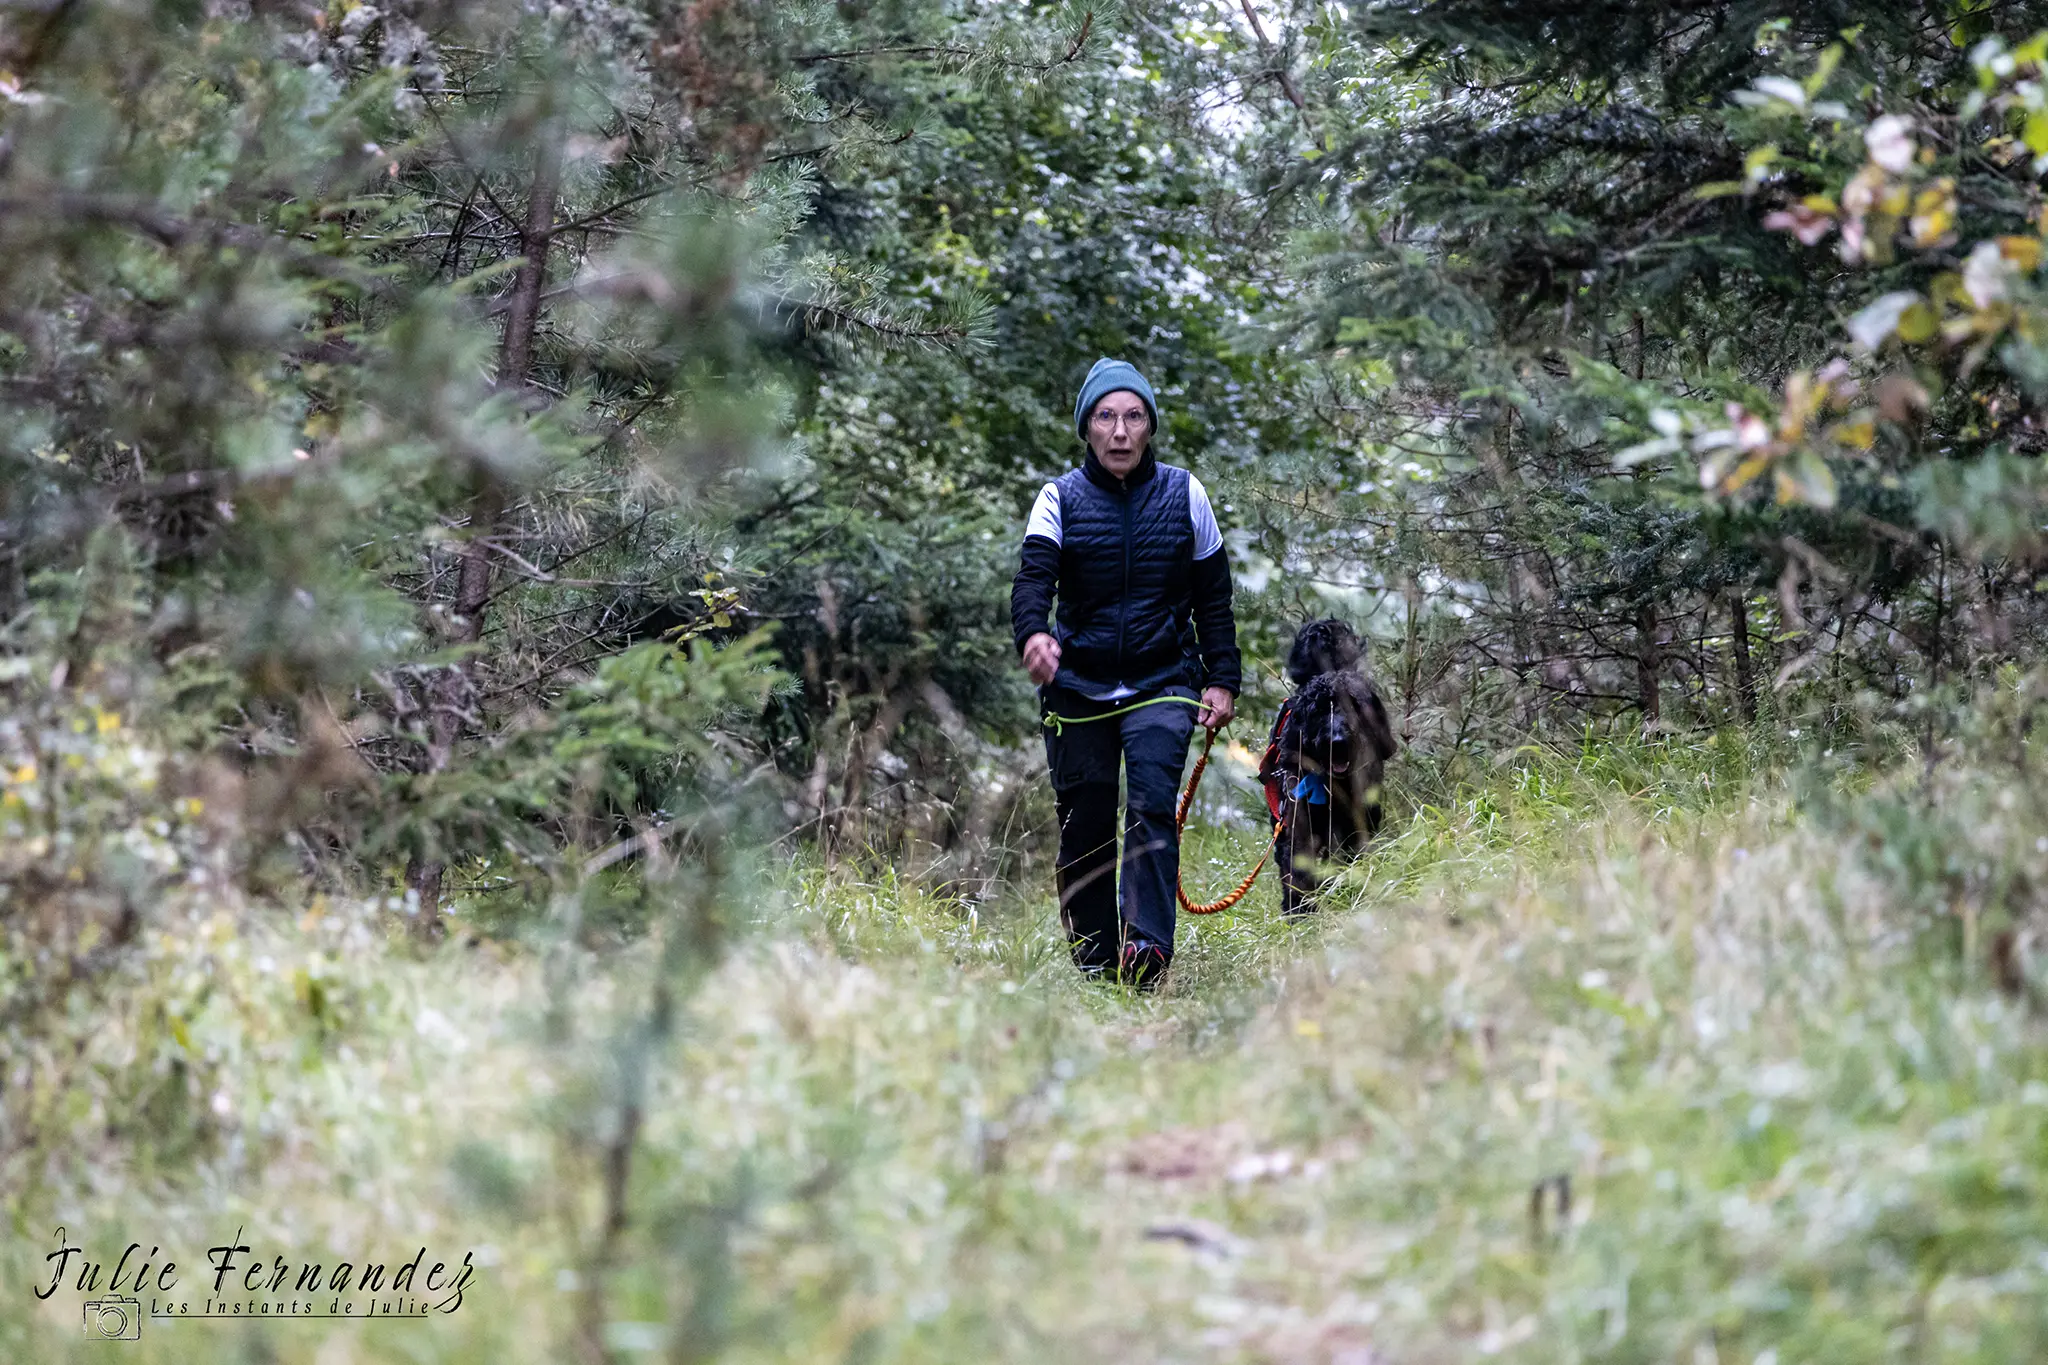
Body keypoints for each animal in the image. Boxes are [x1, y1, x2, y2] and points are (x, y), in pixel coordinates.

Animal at [1253, 618, 1400, 916]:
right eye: (1319, 711)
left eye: (1352, 705)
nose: (1338, 741)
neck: (1331, 786)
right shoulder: (1296, 826)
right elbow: (1297, 869)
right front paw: (1300, 912)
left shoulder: (1356, 821)